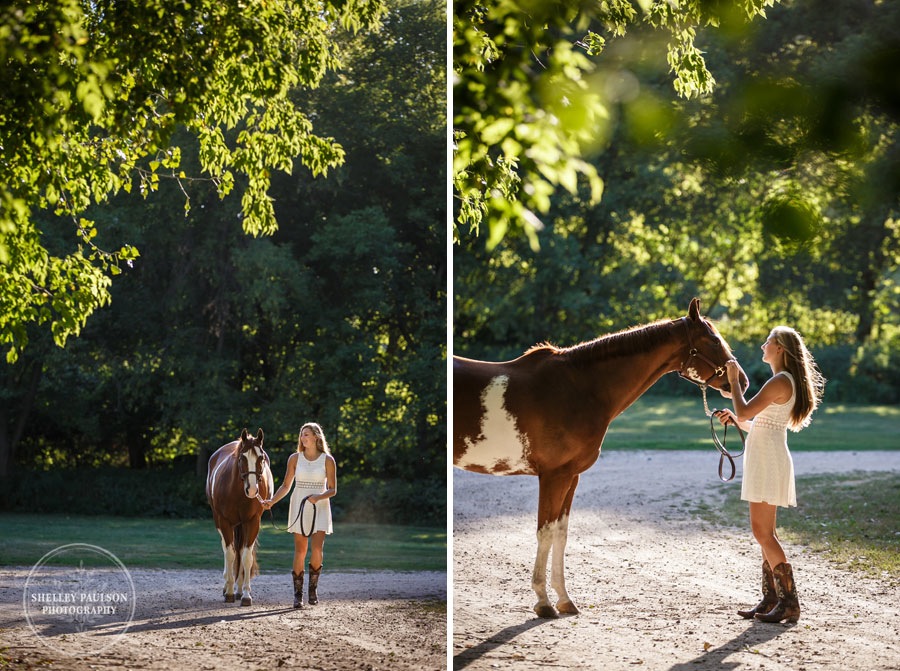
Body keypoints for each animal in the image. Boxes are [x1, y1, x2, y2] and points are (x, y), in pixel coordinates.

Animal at [207, 430, 272, 608]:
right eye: (242, 458)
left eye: (261, 458)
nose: (253, 490)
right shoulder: (224, 522)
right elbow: (230, 554)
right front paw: (229, 592)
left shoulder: (252, 522)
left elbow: (246, 557)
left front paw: (246, 594)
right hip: (220, 521)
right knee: (227, 548)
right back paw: (228, 586)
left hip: (242, 526)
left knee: (241, 551)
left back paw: (239, 588)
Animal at [454, 300, 748, 620]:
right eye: (713, 340)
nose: (742, 382)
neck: (579, 388)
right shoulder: (554, 476)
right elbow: (545, 532)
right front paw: (543, 602)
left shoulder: (571, 476)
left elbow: (560, 533)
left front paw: (564, 599)